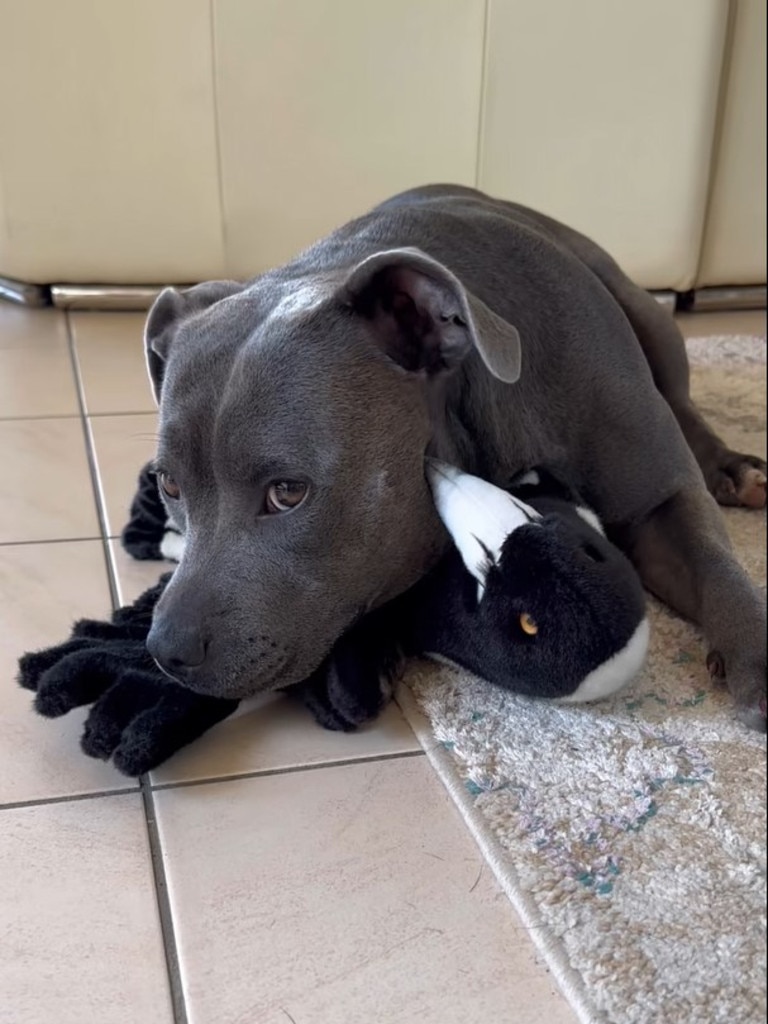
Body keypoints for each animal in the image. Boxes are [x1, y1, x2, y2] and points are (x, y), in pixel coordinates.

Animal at [141, 184, 765, 729]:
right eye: (168, 485)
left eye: (288, 492)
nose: (165, 650)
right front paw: (354, 662)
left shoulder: (662, 501)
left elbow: (714, 562)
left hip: (649, 317)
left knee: (682, 401)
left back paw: (732, 467)